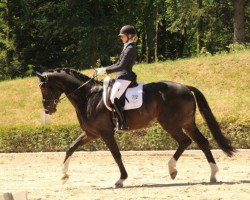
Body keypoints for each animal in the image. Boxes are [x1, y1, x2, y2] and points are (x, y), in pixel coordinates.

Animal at [35, 68, 234, 188]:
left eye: (44, 88)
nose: (48, 109)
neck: (88, 96)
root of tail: (185, 86)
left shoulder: (105, 133)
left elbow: (116, 155)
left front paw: (121, 179)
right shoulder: (91, 133)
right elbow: (71, 148)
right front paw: (64, 175)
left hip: (170, 123)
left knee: (185, 141)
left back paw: (172, 169)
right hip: (186, 123)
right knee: (202, 142)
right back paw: (213, 174)